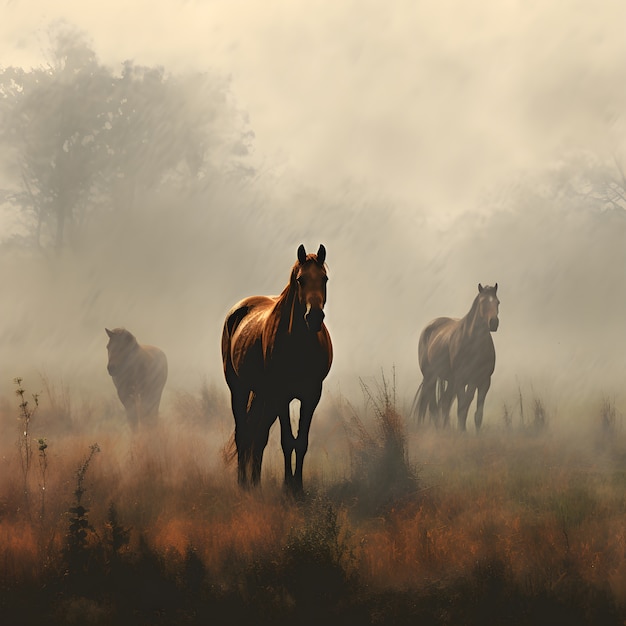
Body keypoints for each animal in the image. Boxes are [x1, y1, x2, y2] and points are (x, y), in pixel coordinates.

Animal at [222, 241, 334, 490]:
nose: (314, 317)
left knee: (258, 436)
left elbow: (300, 442)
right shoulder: (281, 394)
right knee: (243, 434)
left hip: (265, 397)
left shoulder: (312, 395)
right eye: (301, 279)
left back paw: (255, 484)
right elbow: (287, 441)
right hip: (239, 389)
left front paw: (297, 487)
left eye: (324, 278)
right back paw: (243, 485)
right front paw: (287, 487)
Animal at [412, 282, 500, 428]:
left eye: (498, 302)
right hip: (431, 377)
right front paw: (462, 430)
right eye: (483, 302)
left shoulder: (484, 382)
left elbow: (477, 415)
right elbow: (462, 409)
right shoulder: (462, 380)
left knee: (444, 404)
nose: (494, 322)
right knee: (432, 405)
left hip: (450, 382)